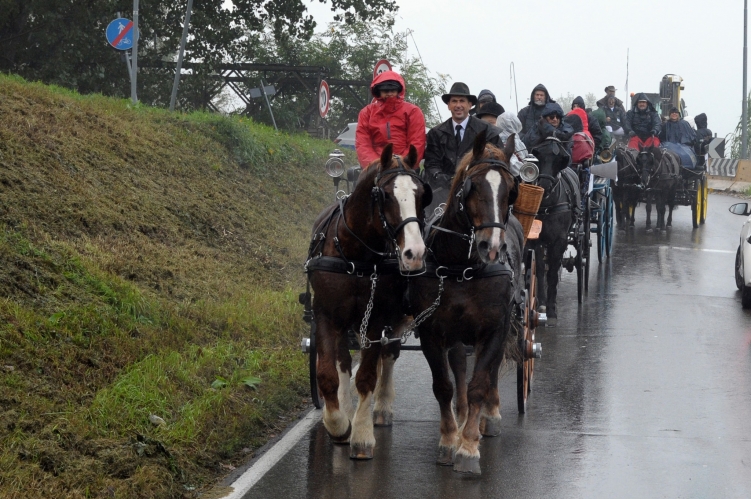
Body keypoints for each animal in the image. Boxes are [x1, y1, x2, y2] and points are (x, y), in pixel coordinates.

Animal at [408, 134, 524, 476]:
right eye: (472, 187)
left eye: (511, 189)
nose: (492, 246)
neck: (460, 266)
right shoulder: (431, 332)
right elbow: (444, 386)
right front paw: (449, 441)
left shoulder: (493, 330)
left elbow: (479, 385)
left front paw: (469, 447)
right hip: (457, 334)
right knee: (459, 364)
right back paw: (460, 417)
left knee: (491, 370)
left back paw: (490, 415)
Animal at [524, 137, 580, 324]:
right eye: (539, 156)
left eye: (559, 160)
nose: (544, 185)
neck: (548, 205)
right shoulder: (538, 238)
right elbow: (541, 269)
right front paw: (541, 303)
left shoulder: (560, 240)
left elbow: (554, 271)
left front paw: (552, 310)